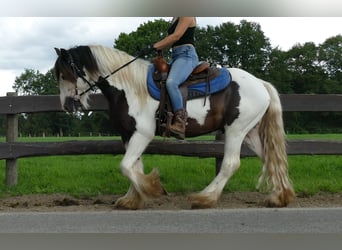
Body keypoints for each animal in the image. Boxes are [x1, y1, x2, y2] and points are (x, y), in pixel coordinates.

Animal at [54, 44, 296, 209]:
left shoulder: (142, 134)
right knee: (270, 158)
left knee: (230, 163)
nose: (66, 105)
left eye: (65, 74)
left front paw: (152, 188)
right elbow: (133, 166)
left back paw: (205, 198)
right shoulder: (129, 135)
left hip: (235, 130)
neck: (130, 88)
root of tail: (261, 84)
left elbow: (126, 166)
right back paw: (280, 196)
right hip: (250, 132)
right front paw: (132, 199)